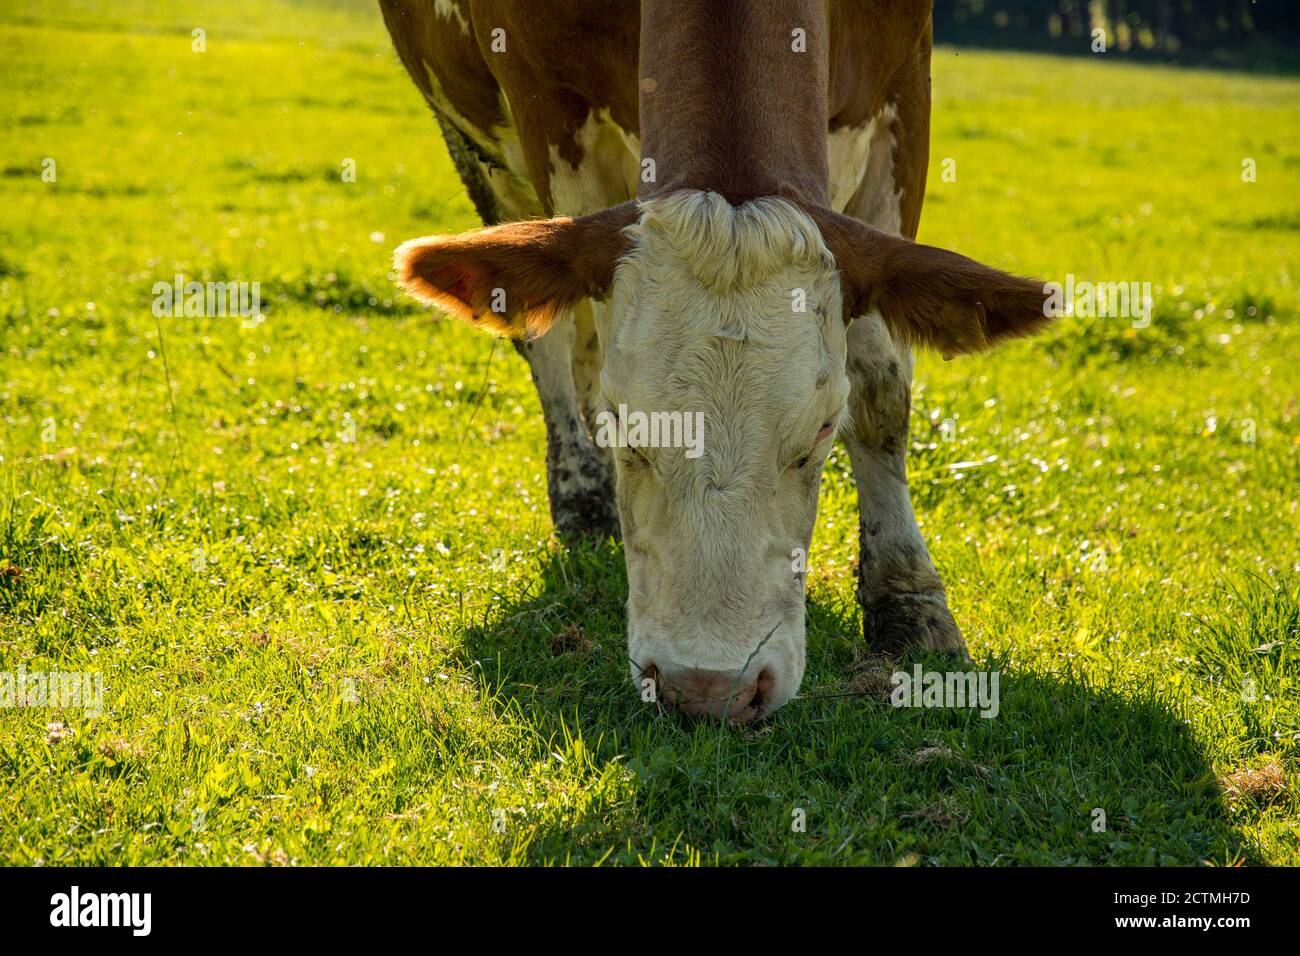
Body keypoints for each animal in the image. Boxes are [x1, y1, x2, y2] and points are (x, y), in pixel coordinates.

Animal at [379, 0, 1055, 722]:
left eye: (821, 431)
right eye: (625, 427)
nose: (707, 690)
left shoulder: (901, 90)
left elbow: (880, 390)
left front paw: (908, 598)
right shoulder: (549, 105)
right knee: (554, 340)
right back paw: (581, 491)